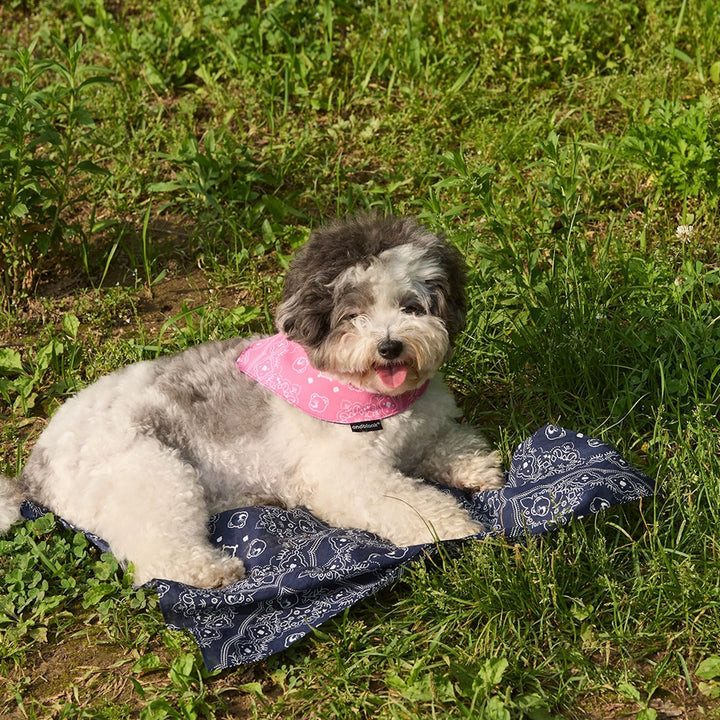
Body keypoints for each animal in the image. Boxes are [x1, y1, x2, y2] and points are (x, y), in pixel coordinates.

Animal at [0, 215, 504, 588]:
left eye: (411, 307)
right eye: (353, 315)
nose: (390, 346)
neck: (369, 396)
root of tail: (35, 468)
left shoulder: (428, 430)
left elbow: (452, 443)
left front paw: (477, 468)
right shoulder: (349, 479)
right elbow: (411, 503)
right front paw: (455, 525)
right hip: (153, 474)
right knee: (155, 553)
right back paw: (212, 571)